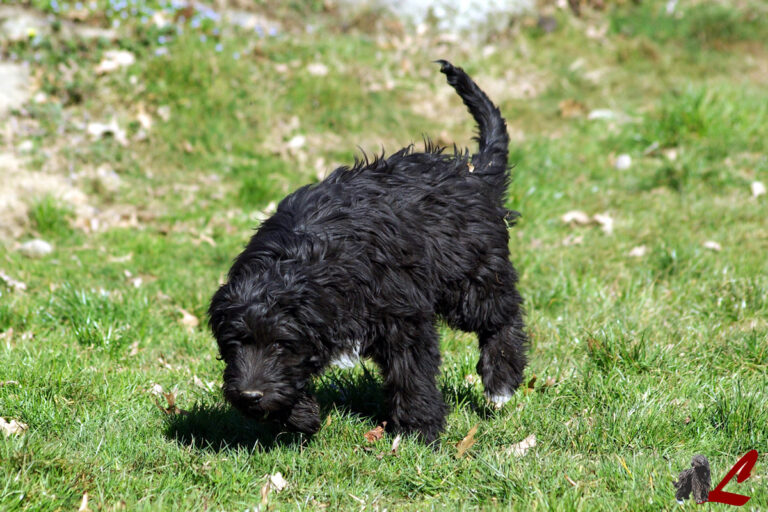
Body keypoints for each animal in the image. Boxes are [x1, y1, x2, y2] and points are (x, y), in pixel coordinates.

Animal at [210, 61, 528, 444]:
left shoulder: (402, 317)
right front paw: (299, 415)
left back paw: (501, 381)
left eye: (279, 345)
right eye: (235, 343)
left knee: (503, 315)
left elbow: (411, 372)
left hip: (470, 275)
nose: (250, 396)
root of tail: (472, 172)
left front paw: (419, 430)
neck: (301, 262)